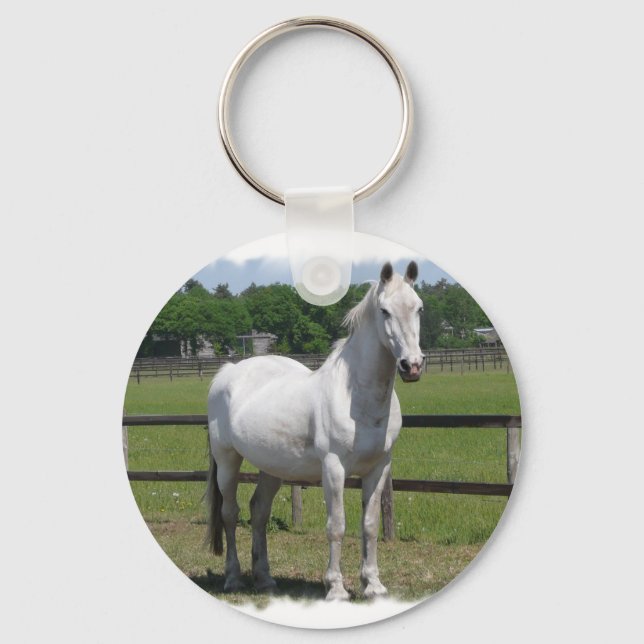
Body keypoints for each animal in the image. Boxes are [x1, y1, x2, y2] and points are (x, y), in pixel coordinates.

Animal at [205, 261, 425, 600]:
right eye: (385, 311)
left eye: (419, 308)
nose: (411, 365)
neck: (357, 396)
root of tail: (228, 372)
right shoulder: (333, 468)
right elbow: (336, 525)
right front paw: (335, 588)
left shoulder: (379, 468)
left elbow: (370, 524)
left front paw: (373, 585)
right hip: (227, 460)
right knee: (230, 513)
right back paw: (233, 579)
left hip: (273, 467)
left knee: (259, 512)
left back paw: (265, 579)